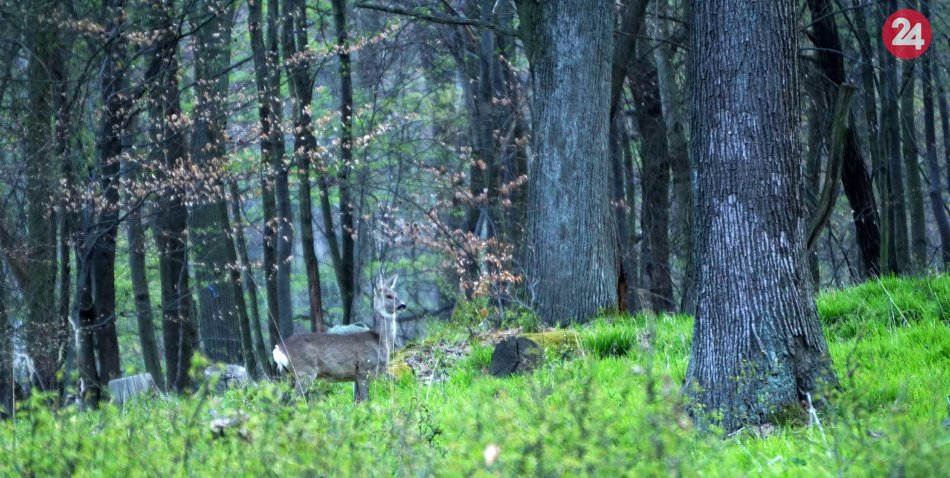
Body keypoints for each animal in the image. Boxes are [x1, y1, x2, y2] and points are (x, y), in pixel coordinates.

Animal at [272, 275, 406, 402]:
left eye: (397, 294)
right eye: (389, 296)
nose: (403, 305)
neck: (380, 340)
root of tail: (278, 349)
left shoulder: (356, 376)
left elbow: (357, 401)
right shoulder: (364, 369)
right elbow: (365, 399)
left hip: (290, 375)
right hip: (304, 371)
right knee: (294, 400)